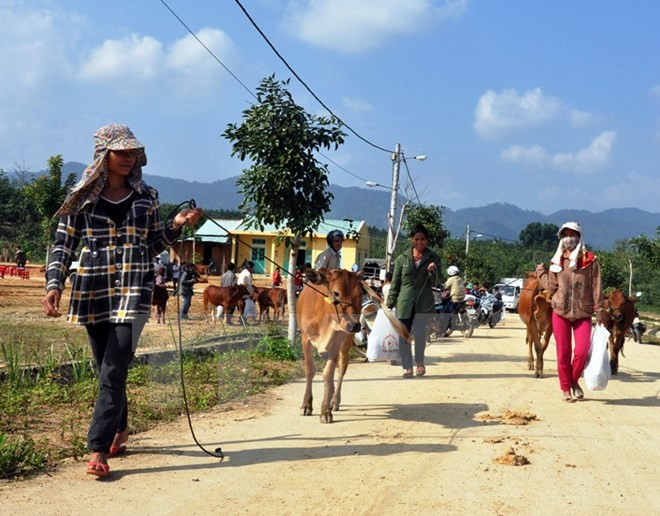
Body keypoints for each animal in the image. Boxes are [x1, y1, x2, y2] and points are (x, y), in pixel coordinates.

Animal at [296, 266, 364, 424]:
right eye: (336, 293)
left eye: (360, 293)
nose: (355, 325)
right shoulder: (305, 339)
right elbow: (310, 370)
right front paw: (306, 404)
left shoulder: (336, 341)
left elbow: (328, 374)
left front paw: (325, 410)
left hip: (346, 342)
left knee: (341, 368)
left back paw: (334, 400)